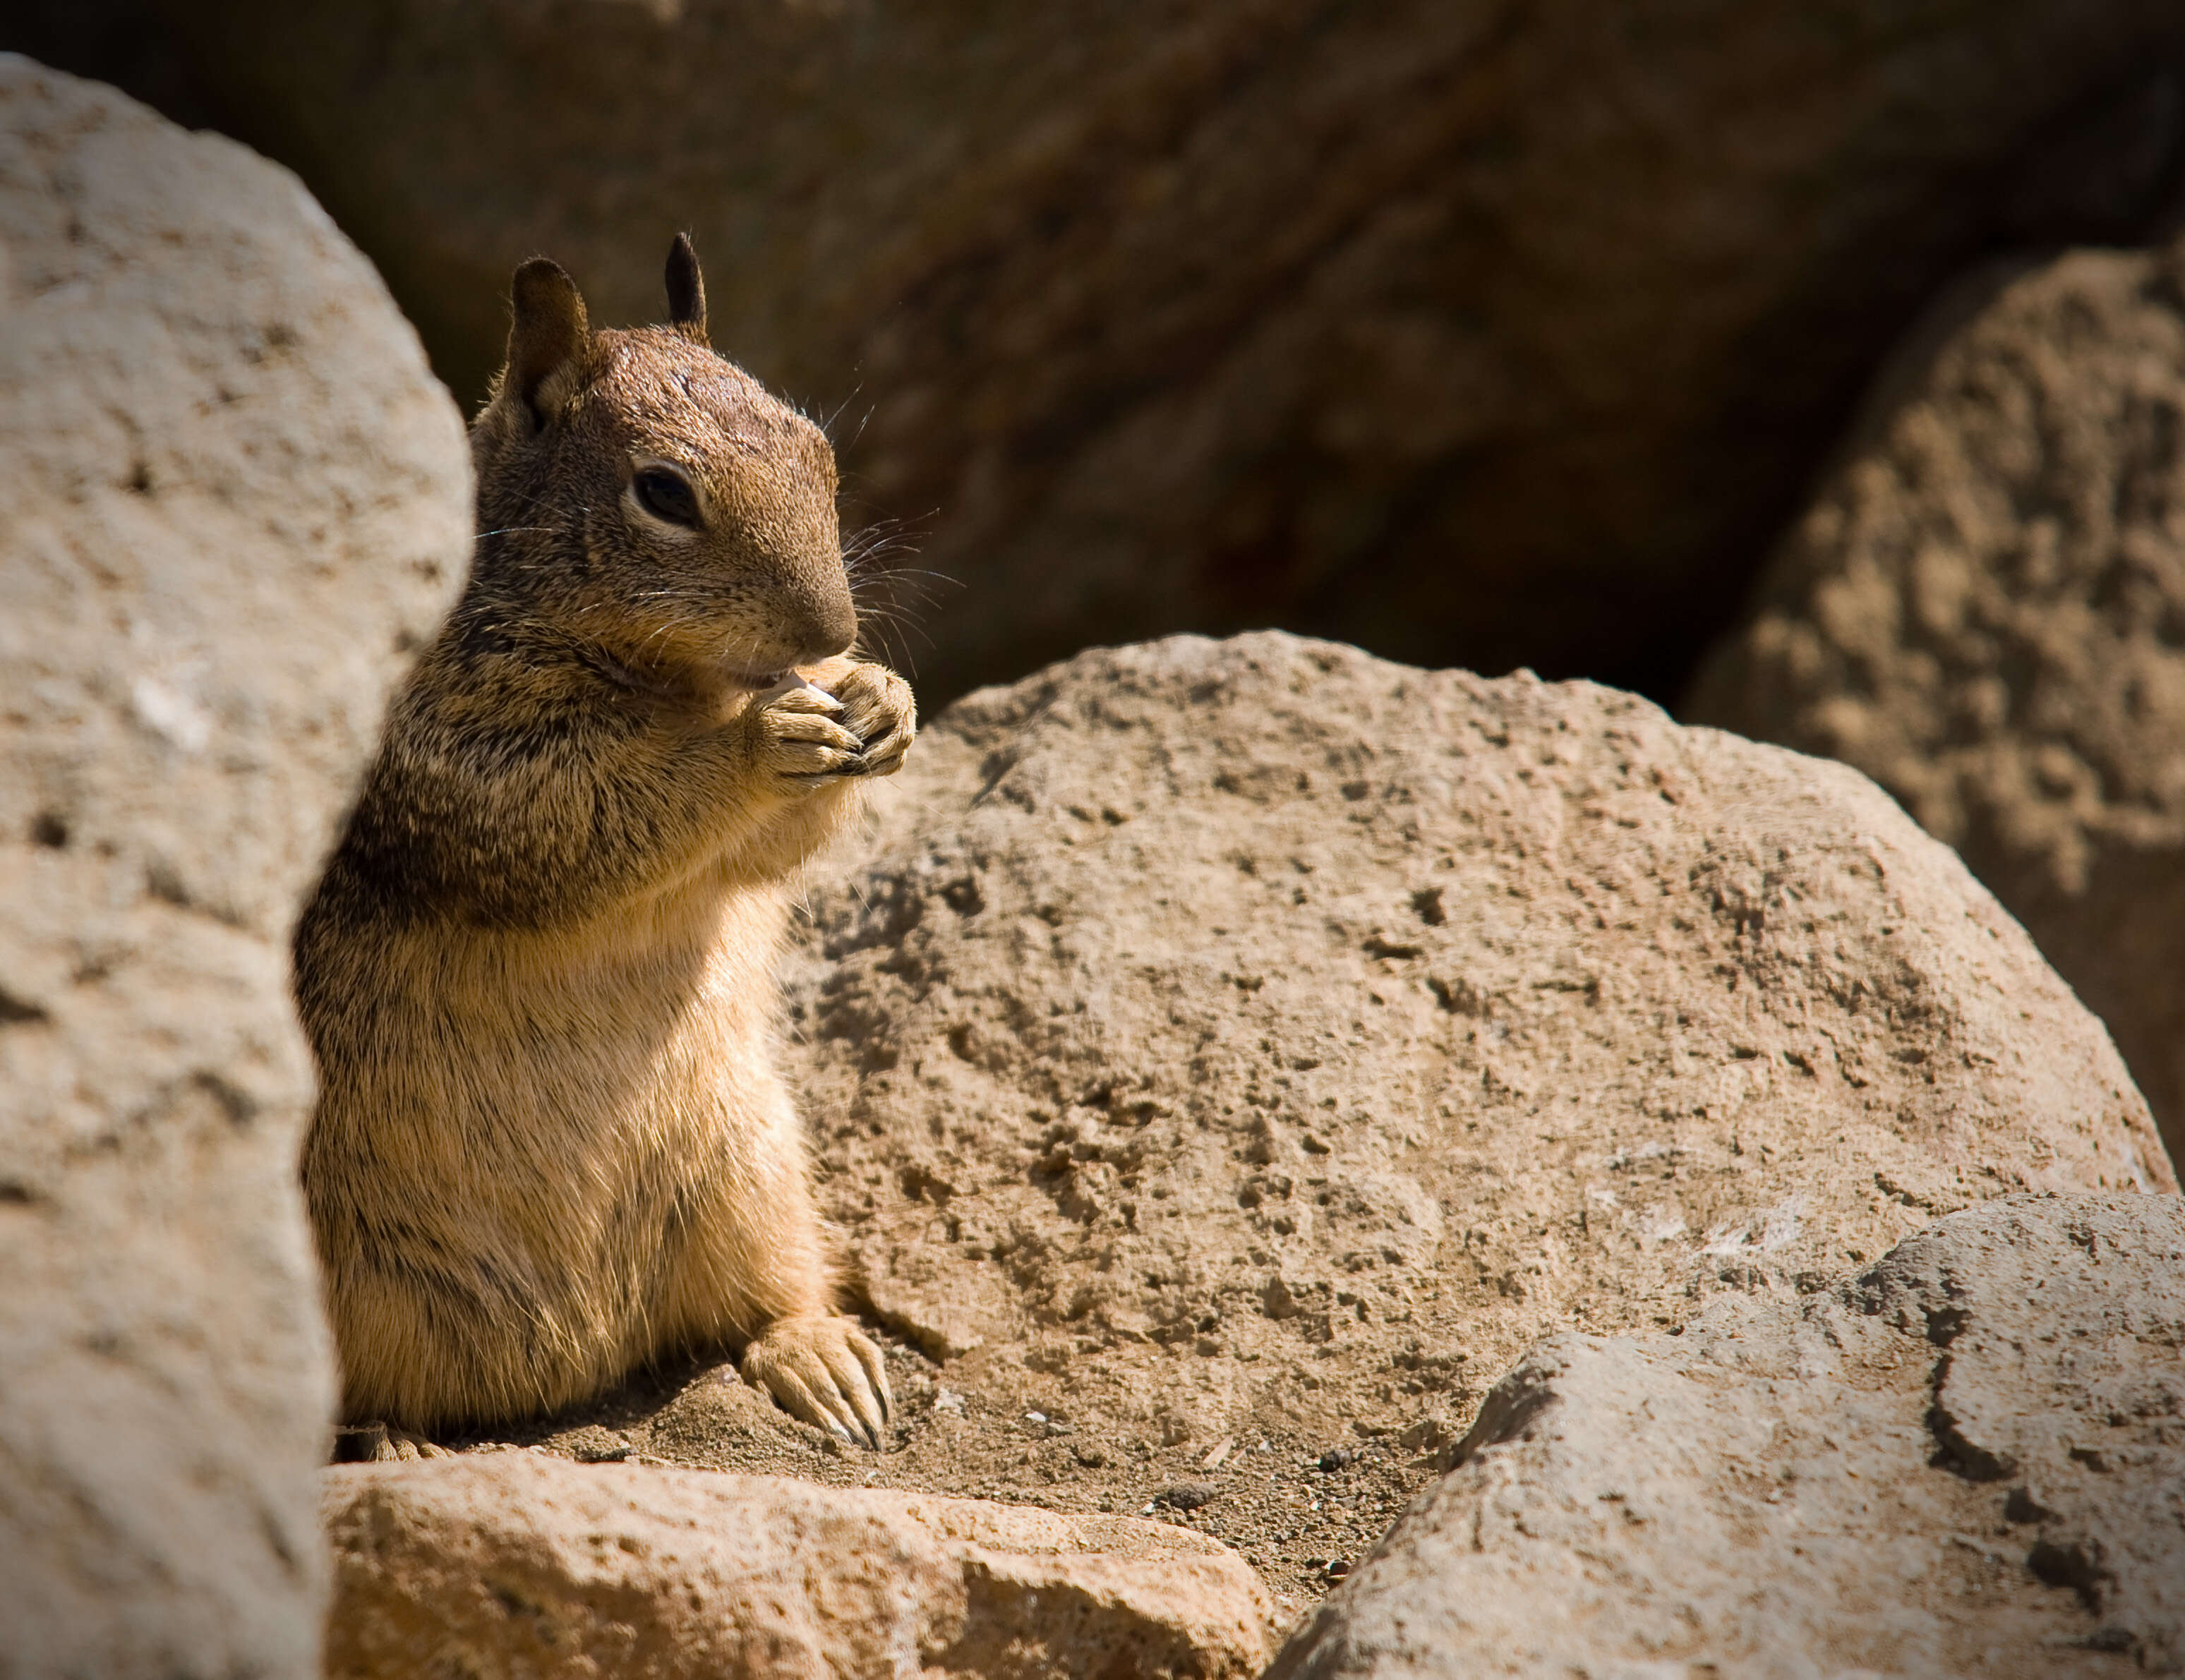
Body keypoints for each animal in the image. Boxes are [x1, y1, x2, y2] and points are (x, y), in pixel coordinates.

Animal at [290, 232, 904, 1442]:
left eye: (817, 449)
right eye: (663, 492)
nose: (835, 626)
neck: (677, 682)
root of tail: (567, 1365)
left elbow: (768, 852)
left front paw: (880, 697)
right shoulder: (462, 758)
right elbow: (586, 812)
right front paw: (760, 742)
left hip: (754, 1177)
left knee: (765, 1299)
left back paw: (820, 1357)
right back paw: (395, 1439)